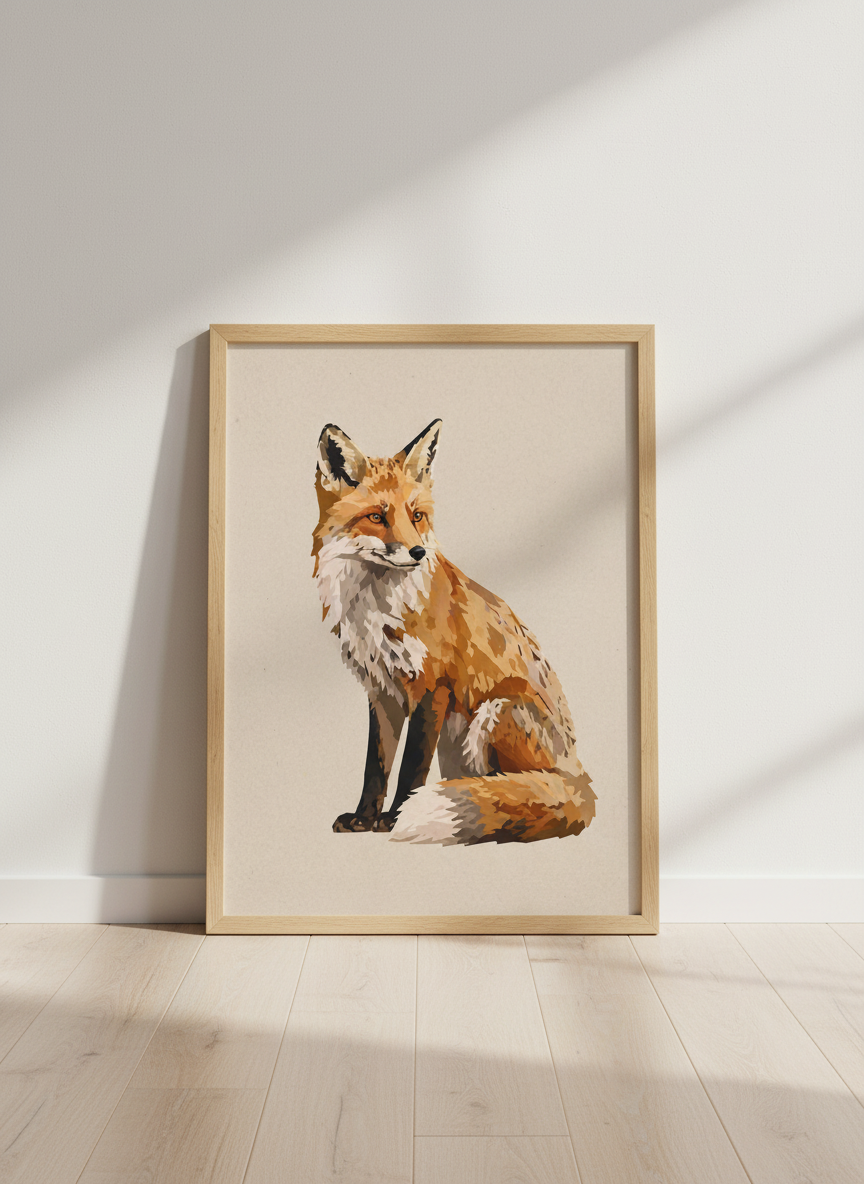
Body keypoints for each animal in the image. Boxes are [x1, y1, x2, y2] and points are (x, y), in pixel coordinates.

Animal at [312, 418, 596, 845]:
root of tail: (578, 773)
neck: (378, 607)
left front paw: (394, 819)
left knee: (526, 800)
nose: (417, 553)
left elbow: (412, 765)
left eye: (417, 516)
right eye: (377, 517)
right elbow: (375, 766)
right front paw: (364, 818)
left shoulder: (434, 686)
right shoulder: (382, 691)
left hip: (496, 710)